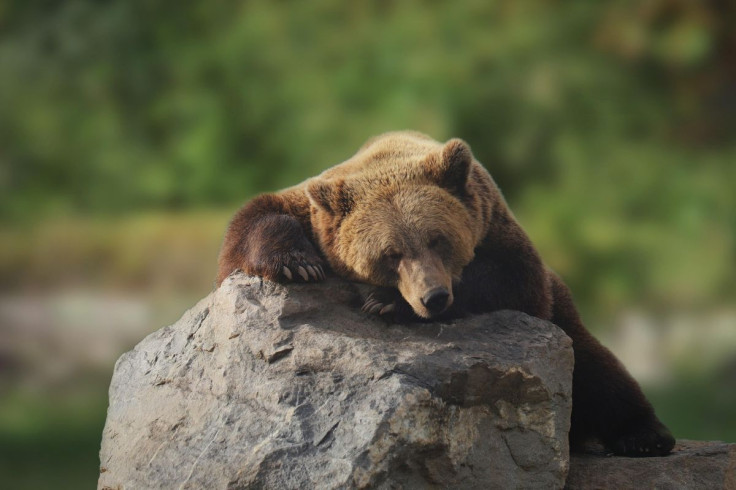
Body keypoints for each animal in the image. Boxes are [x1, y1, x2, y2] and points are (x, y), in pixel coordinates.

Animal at [217, 130, 676, 457]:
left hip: (562, 311)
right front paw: (297, 263)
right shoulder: (314, 210)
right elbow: (254, 219)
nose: (433, 297)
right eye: (391, 253)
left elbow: (511, 278)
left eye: (438, 239)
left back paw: (646, 435)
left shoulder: (497, 231)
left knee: (595, 366)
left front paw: (386, 302)